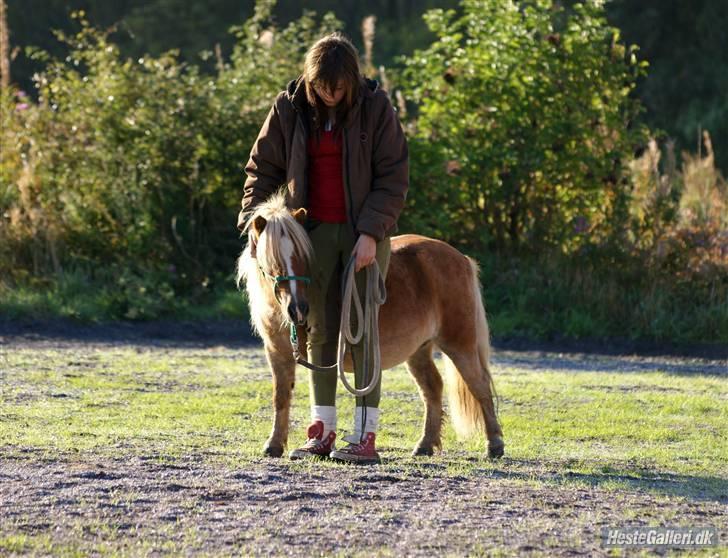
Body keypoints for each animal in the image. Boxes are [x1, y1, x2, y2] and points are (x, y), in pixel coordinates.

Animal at [236, 192, 504, 460]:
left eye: (304, 256)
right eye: (272, 260)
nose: (298, 309)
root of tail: (462, 259)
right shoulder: (277, 351)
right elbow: (280, 397)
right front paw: (274, 445)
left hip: (459, 344)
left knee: (480, 385)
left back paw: (494, 445)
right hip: (418, 350)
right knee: (433, 388)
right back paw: (425, 445)